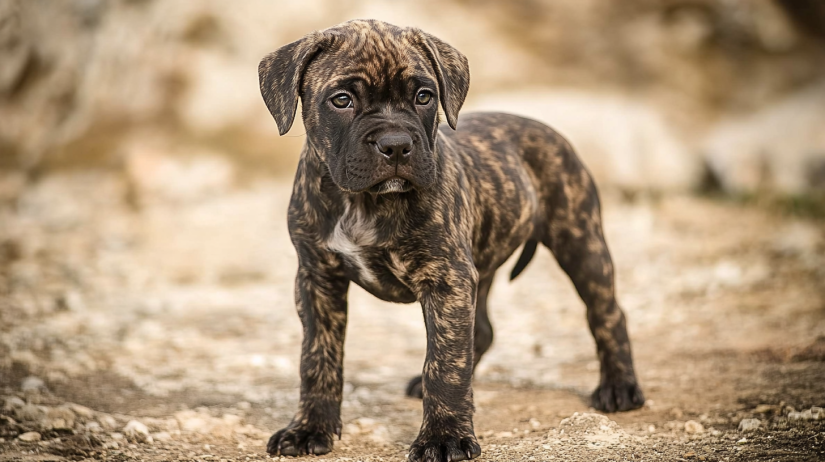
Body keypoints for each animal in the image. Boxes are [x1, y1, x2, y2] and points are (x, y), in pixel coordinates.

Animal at [258, 19, 644, 462]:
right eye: (341, 100)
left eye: (424, 96)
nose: (396, 145)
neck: (364, 201)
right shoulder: (318, 279)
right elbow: (317, 358)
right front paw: (309, 428)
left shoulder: (447, 279)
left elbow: (445, 362)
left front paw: (444, 437)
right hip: (484, 262)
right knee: (483, 330)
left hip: (580, 241)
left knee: (607, 314)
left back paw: (619, 387)